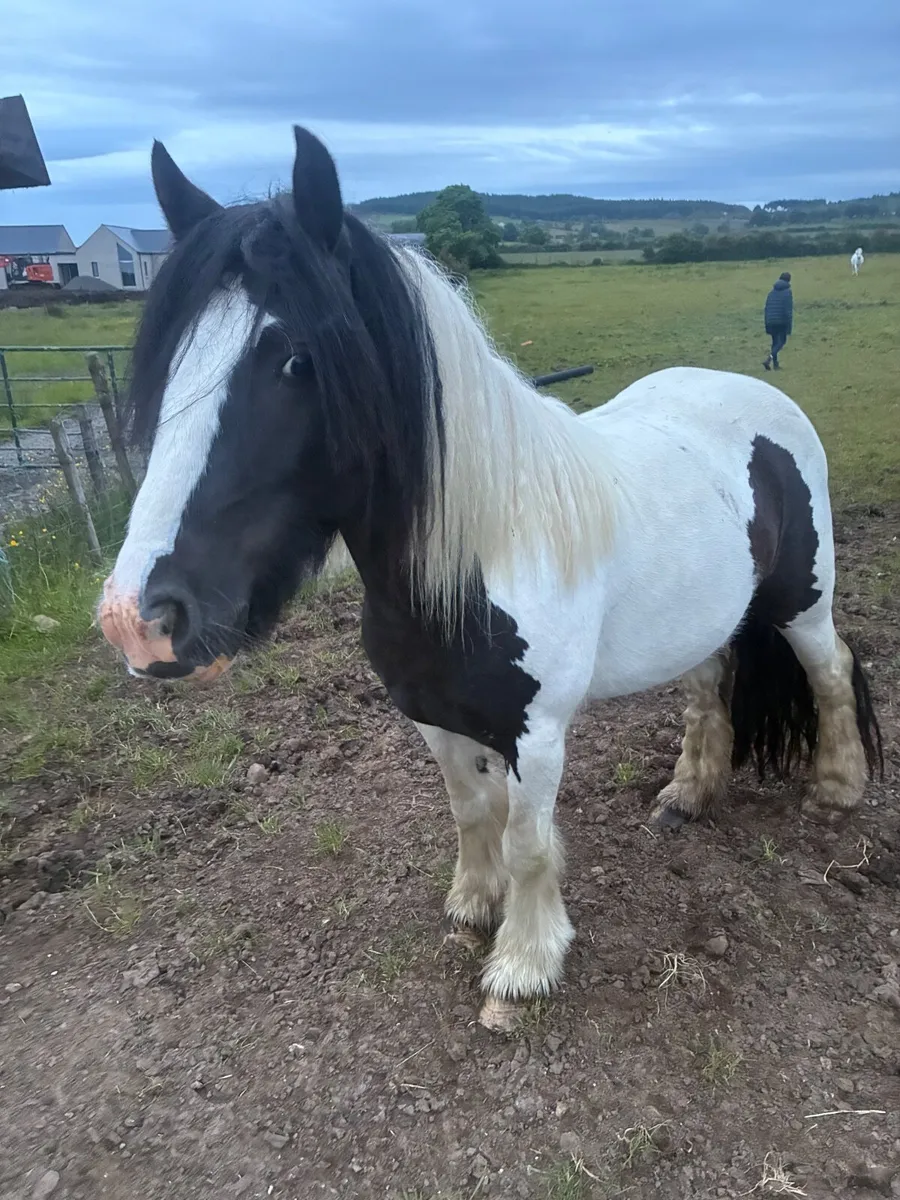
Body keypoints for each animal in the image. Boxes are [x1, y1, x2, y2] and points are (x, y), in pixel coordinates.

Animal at [98, 126, 883, 1030]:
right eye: (169, 362)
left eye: (296, 360)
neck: (475, 564)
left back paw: (837, 788)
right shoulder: (432, 719)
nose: (140, 620)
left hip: (802, 602)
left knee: (831, 671)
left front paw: (524, 963)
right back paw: (689, 792)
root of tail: (755, 393)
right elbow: (473, 814)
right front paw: (474, 906)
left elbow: (529, 841)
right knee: (706, 683)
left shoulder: (536, 735)